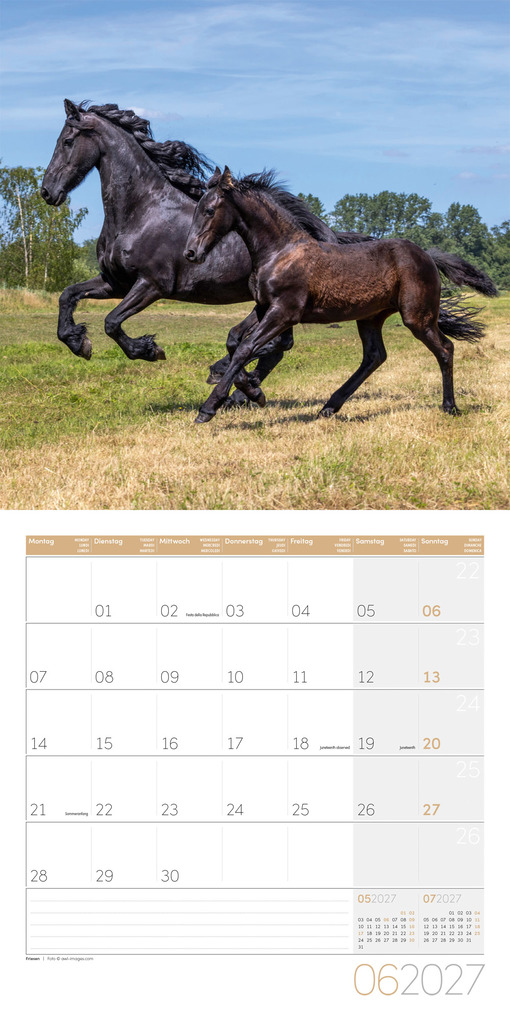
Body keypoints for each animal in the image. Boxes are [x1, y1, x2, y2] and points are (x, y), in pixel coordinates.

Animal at [184, 168, 497, 423]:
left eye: (209, 210)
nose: (190, 253)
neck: (281, 252)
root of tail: (428, 256)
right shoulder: (264, 308)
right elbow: (236, 341)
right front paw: (250, 388)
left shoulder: (284, 312)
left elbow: (246, 347)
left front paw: (211, 407)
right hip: (371, 317)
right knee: (374, 356)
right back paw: (329, 406)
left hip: (417, 317)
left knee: (444, 349)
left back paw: (450, 407)